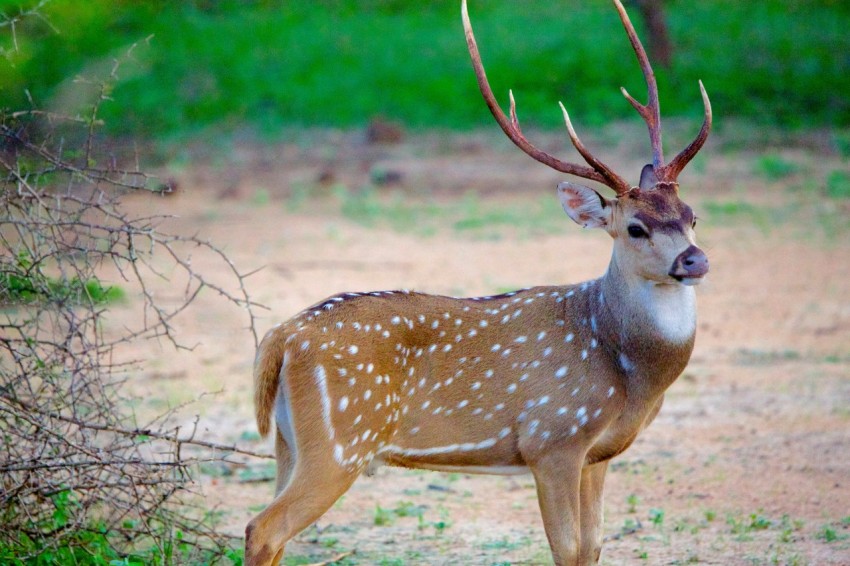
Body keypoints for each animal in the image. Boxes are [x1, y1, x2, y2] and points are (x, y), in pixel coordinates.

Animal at [243, 0, 708, 564]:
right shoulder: (552, 438)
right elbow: (567, 548)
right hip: (339, 441)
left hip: (289, 442)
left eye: (692, 215)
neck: (624, 367)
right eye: (636, 228)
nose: (694, 260)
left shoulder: (599, 454)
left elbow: (593, 547)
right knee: (263, 528)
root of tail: (281, 337)